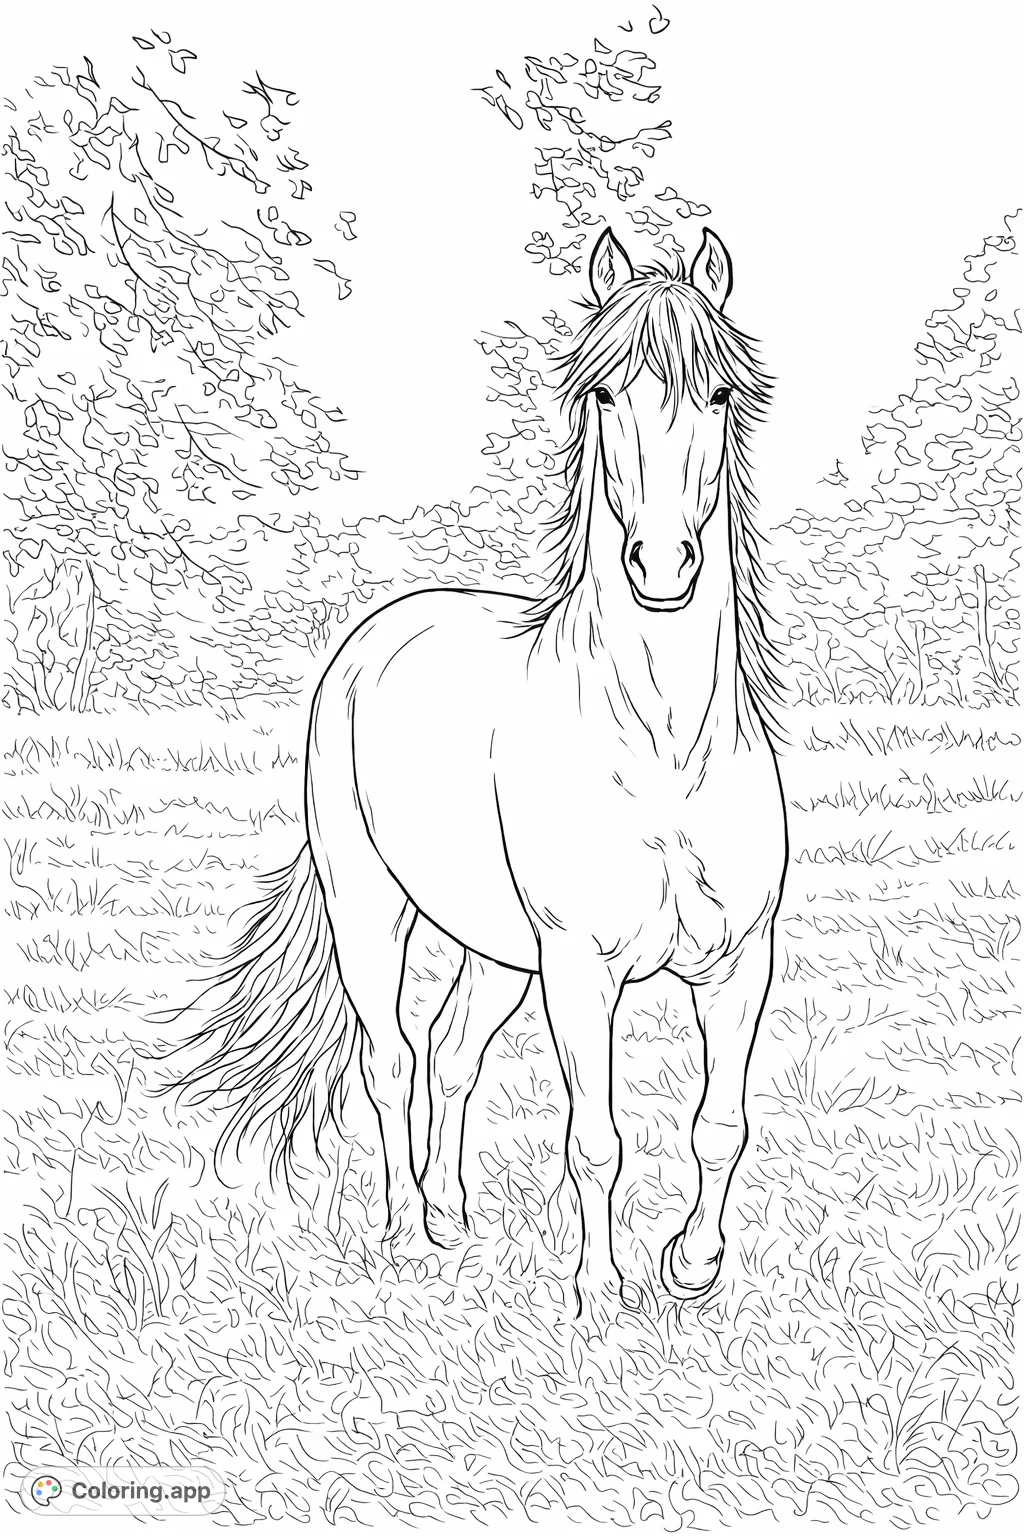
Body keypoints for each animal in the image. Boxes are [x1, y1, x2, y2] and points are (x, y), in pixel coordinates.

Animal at [171, 225, 788, 1324]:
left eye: (719, 394)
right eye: (603, 393)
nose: (662, 566)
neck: (665, 754)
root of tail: (375, 632)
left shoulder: (737, 962)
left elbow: (721, 1124)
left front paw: (692, 1265)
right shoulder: (580, 971)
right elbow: (594, 1140)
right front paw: (597, 1295)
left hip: (495, 950)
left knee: (452, 1054)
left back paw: (454, 1217)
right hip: (371, 909)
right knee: (390, 1058)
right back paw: (403, 1228)